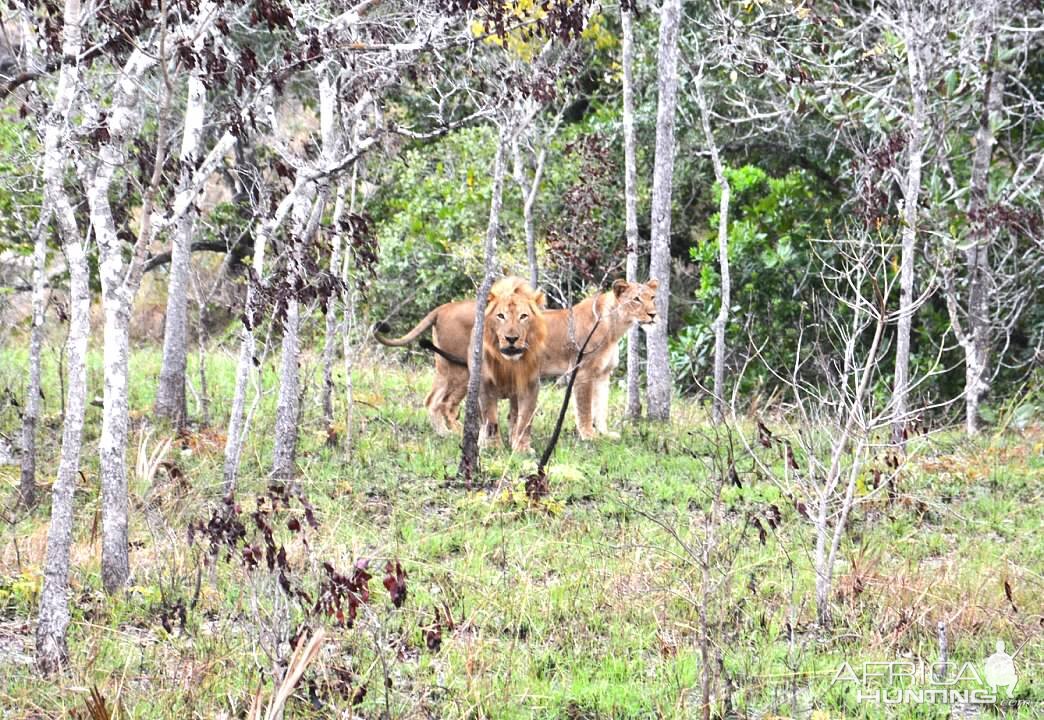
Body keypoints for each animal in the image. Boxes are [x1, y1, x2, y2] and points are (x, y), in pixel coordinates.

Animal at [373, 277, 651, 440]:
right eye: (636, 299)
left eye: (652, 297)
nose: (654, 314)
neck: (616, 326)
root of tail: (443, 307)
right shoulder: (581, 372)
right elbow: (584, 408)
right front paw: (588, 436)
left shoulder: (603, 375)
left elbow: (601, 407)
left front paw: (605, 433)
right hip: (462, 369)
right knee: (442, 403)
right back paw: (454, 434)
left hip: (447, 366)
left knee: (434, 400)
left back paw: (447, 434)